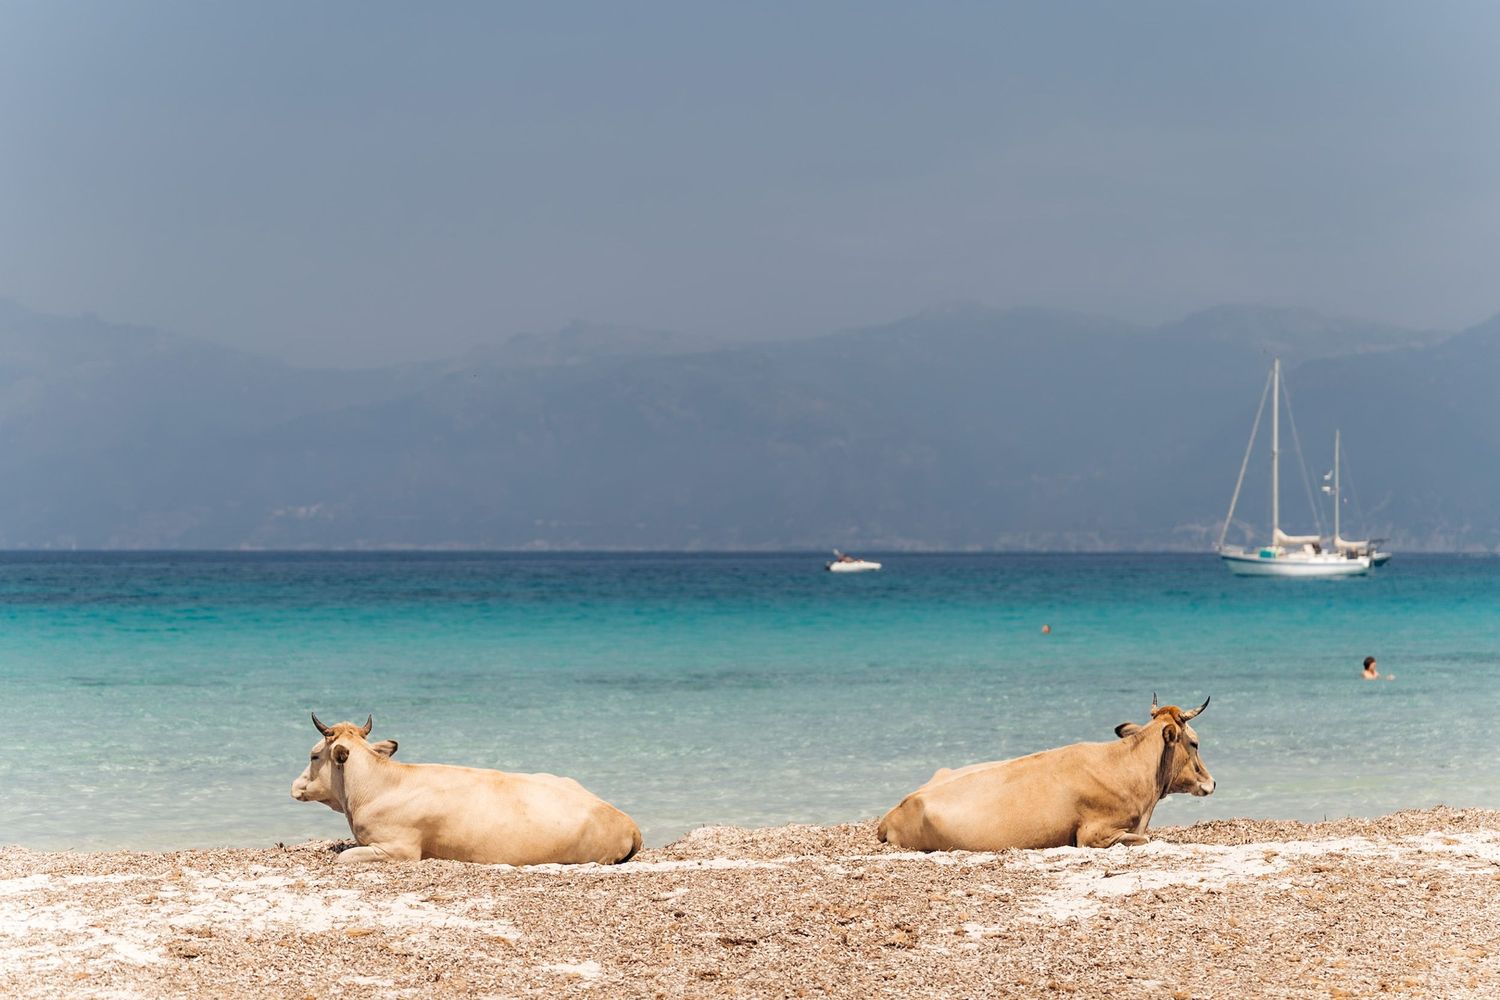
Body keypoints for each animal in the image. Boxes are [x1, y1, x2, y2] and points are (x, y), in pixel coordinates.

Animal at [291, 714, 643, 865]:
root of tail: (627, 821)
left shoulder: (398, 848)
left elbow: (344, 858)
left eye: (313, 755)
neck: (379, 785)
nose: (295, 785)